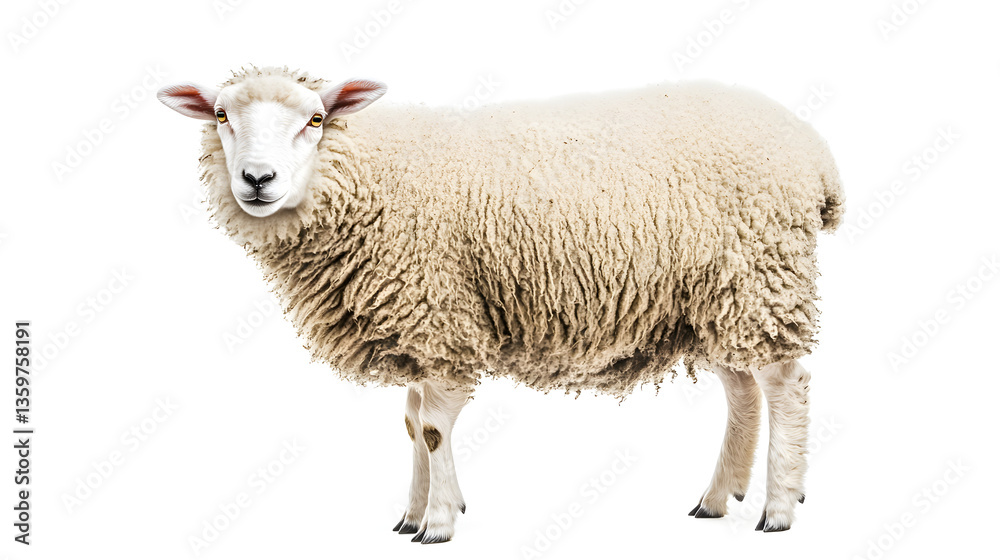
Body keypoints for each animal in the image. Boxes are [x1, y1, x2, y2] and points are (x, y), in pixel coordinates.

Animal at [158, 66, 844, 543]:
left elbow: (433, 428)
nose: (257, 179)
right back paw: (717, 498)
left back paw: (778, 508)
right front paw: (411, 514)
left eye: (317, 119)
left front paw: (437, 524)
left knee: (786, 385)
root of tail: (816, 153)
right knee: (743, 391)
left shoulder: (437, 313)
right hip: (718, 297)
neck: (371, 180)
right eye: (220, 114)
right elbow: (412, 422)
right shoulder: (422, 325)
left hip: (762, 277)